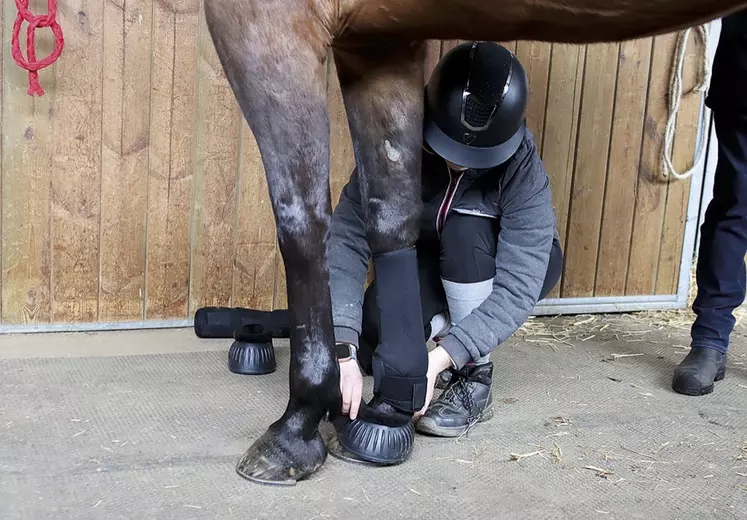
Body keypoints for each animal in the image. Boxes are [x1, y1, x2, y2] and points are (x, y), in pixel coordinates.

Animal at [203, 1, 747, 488]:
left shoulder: (269, 22)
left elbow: (301, 224)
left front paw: (297, 428)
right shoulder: (379, 39)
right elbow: (388, 214)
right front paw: (386, 408)